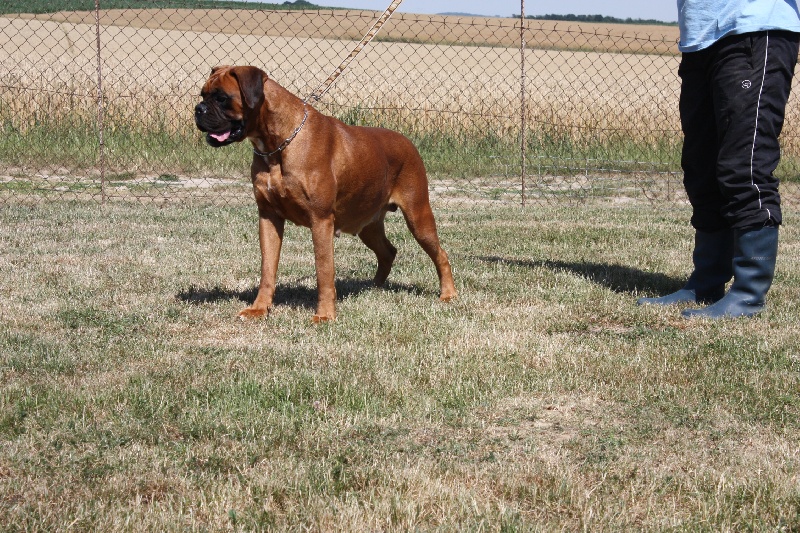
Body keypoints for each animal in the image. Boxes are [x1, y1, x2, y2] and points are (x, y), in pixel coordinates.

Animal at [195, 64, 456, 318]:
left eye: (221, 98)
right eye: (202, 95)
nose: (198, 109)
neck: (277, 144)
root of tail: (408, 142)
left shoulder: (320, 221)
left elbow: (324, 270)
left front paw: (325, 315)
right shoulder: (268, 217)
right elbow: (267, 268)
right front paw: (259, 308)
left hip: (418, 217)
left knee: (441, 254)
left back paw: (448, 294)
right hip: (368, 225)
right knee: (388, 252)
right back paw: (373, 287)